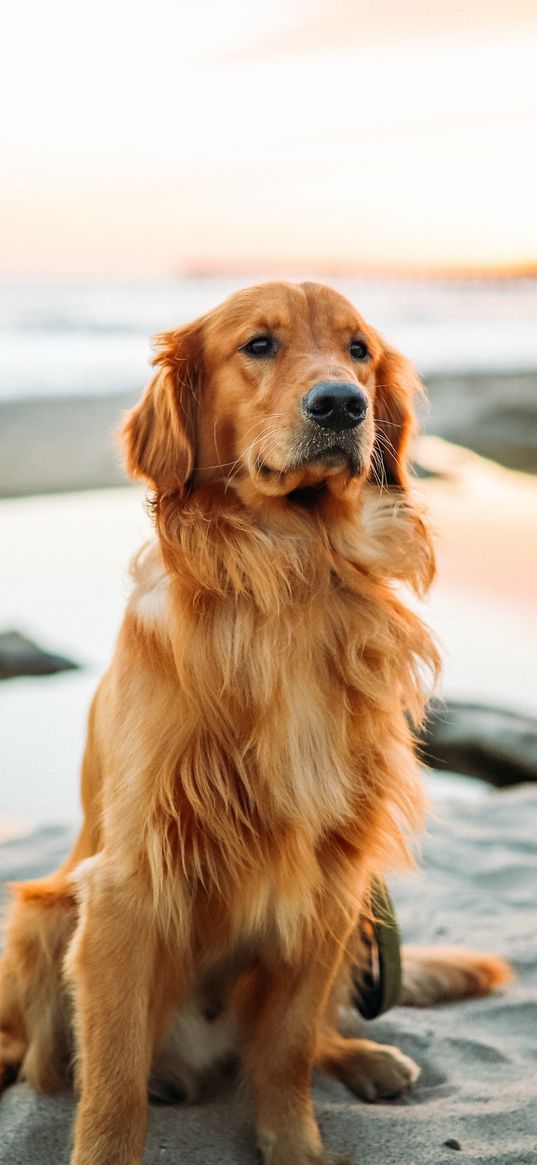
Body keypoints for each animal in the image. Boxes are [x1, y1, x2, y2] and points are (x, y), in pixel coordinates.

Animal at [0, 284, 510, 1165]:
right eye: (259, 345)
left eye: (358, 350)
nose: (341, 404)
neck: (292, 573)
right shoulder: (127, 884)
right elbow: (112, 1082)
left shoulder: (332, 875)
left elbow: (286, 1049)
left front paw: (296, 1145)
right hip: (39, 917)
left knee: (308, 1033)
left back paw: (366, 1056)